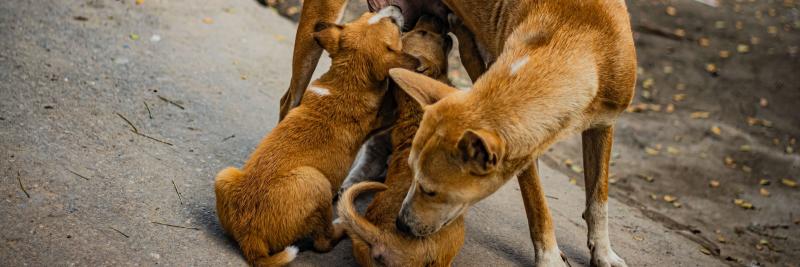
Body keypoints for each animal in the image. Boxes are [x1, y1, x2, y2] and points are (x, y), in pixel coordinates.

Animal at [216, 7, 422, 266]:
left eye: (364, 16)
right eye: (394, 23)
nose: (396, 8)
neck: (346, 79)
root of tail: (250, 239)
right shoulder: (387, 117)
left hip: (223, 176)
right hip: (318, 182)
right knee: (323, 242)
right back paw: (342, 225)